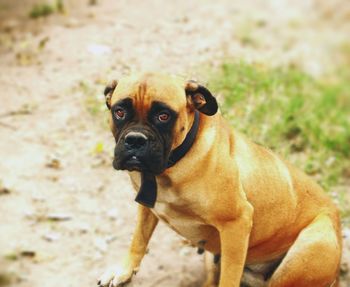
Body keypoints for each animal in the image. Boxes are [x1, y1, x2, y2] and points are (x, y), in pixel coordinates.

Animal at [98, 73, 342, 286]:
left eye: (163, 116)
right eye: (119, 111)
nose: (135, 139)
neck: (172, 164)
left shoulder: (236, 223)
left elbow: (229, 278)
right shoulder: (147, 206)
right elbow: (138, 239)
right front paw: (124, 270)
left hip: (310, 247)